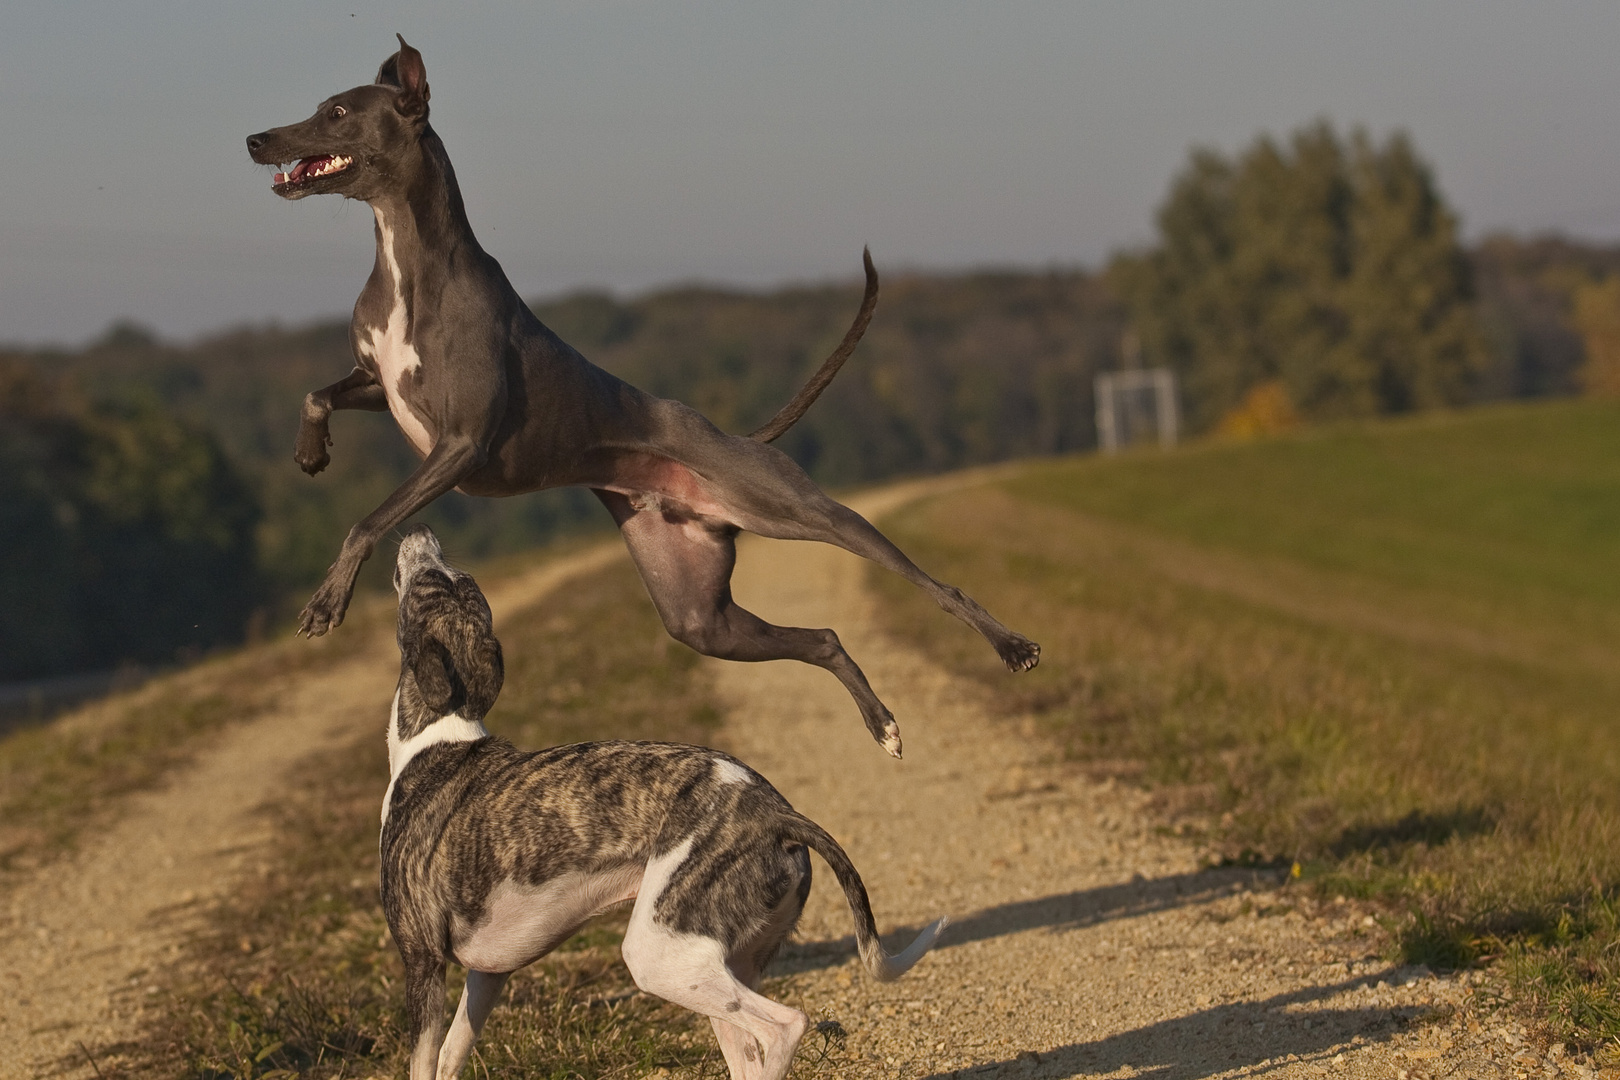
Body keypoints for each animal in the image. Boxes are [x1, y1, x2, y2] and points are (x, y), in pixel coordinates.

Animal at [247, 35, 1043, 761]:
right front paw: (310, 452)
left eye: (337, 112)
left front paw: (326, 600)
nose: (256, 139)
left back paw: (1010, 645)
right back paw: (882, 725)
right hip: (697, 615)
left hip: (809, 512)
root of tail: (738, 443)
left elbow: (366, 519)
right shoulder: (384, 388)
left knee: (932, 582)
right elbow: (317, 393)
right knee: (820, 637)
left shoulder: (462, 443)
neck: (408, 257)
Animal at [383, 527, 946, 1080]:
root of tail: (777, 814)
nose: (417, 530)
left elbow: (423, 1061)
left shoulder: (423, 961)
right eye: (457, 582)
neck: (439, 734)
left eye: (436, 581)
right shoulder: (490, 971)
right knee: (748, 1049)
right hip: (717, 965)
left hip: (659, 954)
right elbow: (452, 1055)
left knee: (787, 1025)